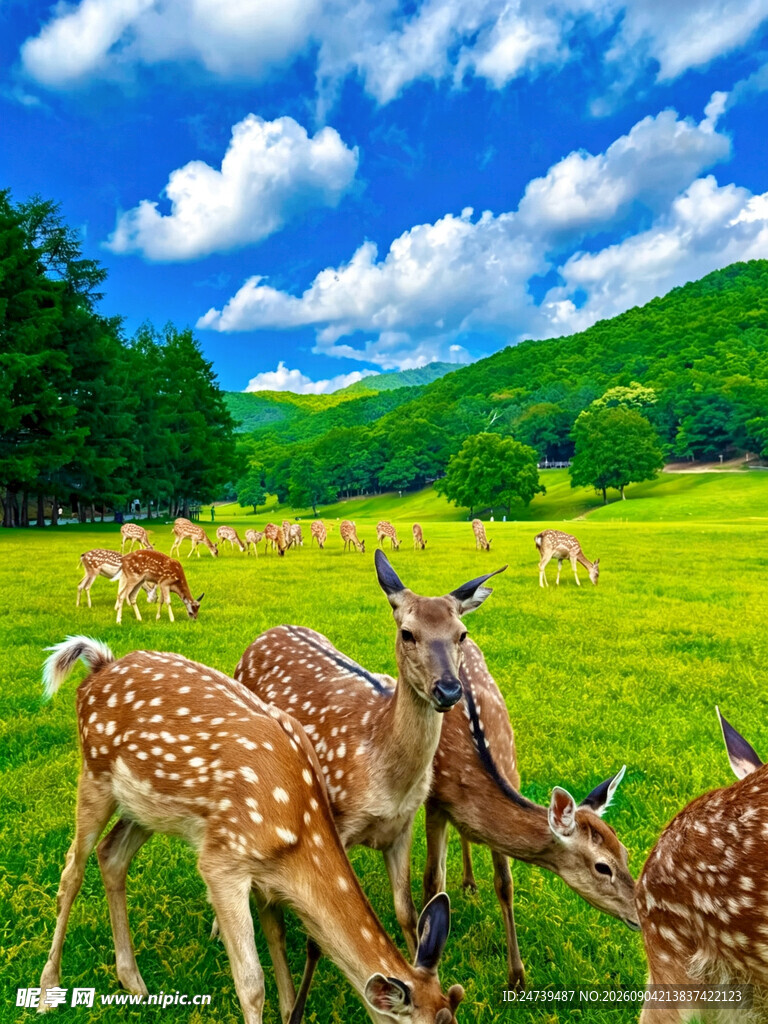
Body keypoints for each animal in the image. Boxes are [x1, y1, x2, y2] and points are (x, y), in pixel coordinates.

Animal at [38, 636, 465, 1024]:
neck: (298, 831)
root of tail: (99, 667)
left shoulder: (266, 874)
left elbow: (277, 940)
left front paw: (291, 1010)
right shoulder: (224, 860)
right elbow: (251, 982)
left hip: (146, 807)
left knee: (112, 854)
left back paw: (133, 981)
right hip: (94, 773)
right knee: (72, 870)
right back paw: (47, 989)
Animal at [233, 551, 506, 1017]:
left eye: (462, 634)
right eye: (407, 633)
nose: (449, 690)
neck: (385, 777)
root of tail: (266, 632)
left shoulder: (403, 825)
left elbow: (407, 910)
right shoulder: (333, 822)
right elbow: (317, 939)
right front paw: (299, 1007)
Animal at [422, 637, 638, 990]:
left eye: (626, 853)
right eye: (602, 867)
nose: (640, 912)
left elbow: (505, 884)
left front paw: (517, 977)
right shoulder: (434, 801)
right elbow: (432, 880)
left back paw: (469, 882)